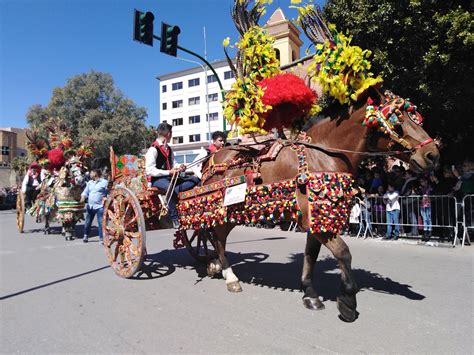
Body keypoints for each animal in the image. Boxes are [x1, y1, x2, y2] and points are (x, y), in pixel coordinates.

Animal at [191, 88, 438, 322]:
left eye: (415, 116)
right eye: (398, 120)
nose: (433, 155)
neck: (324, 155)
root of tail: (212, 160)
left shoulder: (317, 219)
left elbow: (311, 255)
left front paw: (309, 293)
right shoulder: (316, 219)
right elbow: (343, 253)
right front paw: (348, 301)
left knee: (216, 236)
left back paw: (217, 267)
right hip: (220, 210)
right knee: (217, 237)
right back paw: (230, 276)